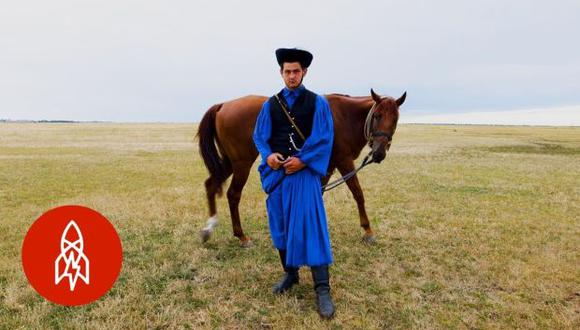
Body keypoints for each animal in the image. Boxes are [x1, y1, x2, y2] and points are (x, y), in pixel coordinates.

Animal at [197, 89, 406, 246]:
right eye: (377, 116)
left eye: (395, 120)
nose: (379, 153)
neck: (345, 117)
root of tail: (223, 105)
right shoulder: (344, 161)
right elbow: (357, 193)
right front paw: (368, 230)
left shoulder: (327, 165)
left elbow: (319, 192)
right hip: (242, 163)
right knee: (233, 194)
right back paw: (241, 236)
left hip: (230, 162)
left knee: (210, 184)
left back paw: (209, 227)